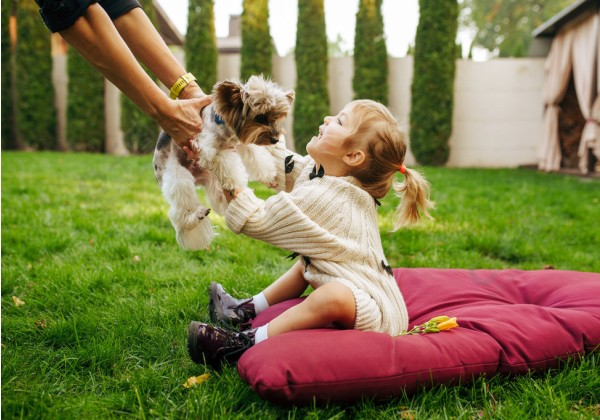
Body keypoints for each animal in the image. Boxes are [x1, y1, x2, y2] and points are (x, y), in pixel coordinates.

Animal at [154, 76, 294, 249]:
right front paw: (236, 182)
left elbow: (257, 158)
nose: (275, 139)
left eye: (276, 117)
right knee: (178, 213)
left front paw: (268, 177)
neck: (227, 130)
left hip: (210, 178)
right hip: (178, 176)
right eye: (260, 117)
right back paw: (196, 215)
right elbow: (228, 165)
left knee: (218, 199)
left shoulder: (242, 144)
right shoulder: (210, 149)